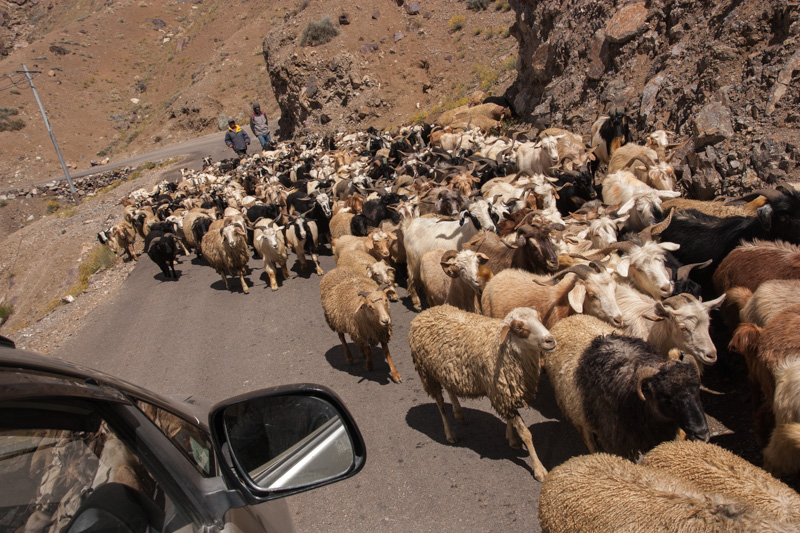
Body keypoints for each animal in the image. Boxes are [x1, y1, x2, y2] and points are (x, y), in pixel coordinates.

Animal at [409, 305, 556, 481]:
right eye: (519, 327)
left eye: (539, 318)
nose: (550, 340)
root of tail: (425, 313)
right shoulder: (500, 392)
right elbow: (525, 433)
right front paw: (539, 469)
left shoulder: (504, 392)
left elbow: (511, 420)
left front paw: (511, 438)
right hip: (427, 373)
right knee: (440, 404)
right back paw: (450, 433)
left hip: (447, 370)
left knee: (450, 389)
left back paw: (459, 413)